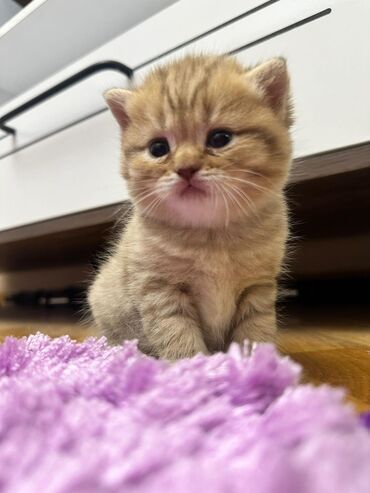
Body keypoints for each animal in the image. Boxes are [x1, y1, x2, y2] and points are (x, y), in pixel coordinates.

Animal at [88, 54, 294, 358]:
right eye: (158, 148)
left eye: (220, 138)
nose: (185, 169)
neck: (211, 237)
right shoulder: (159, 291)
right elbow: (179, 339)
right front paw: (194, 367)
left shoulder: (258, 288)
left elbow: (255, 331)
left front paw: (255, 364)